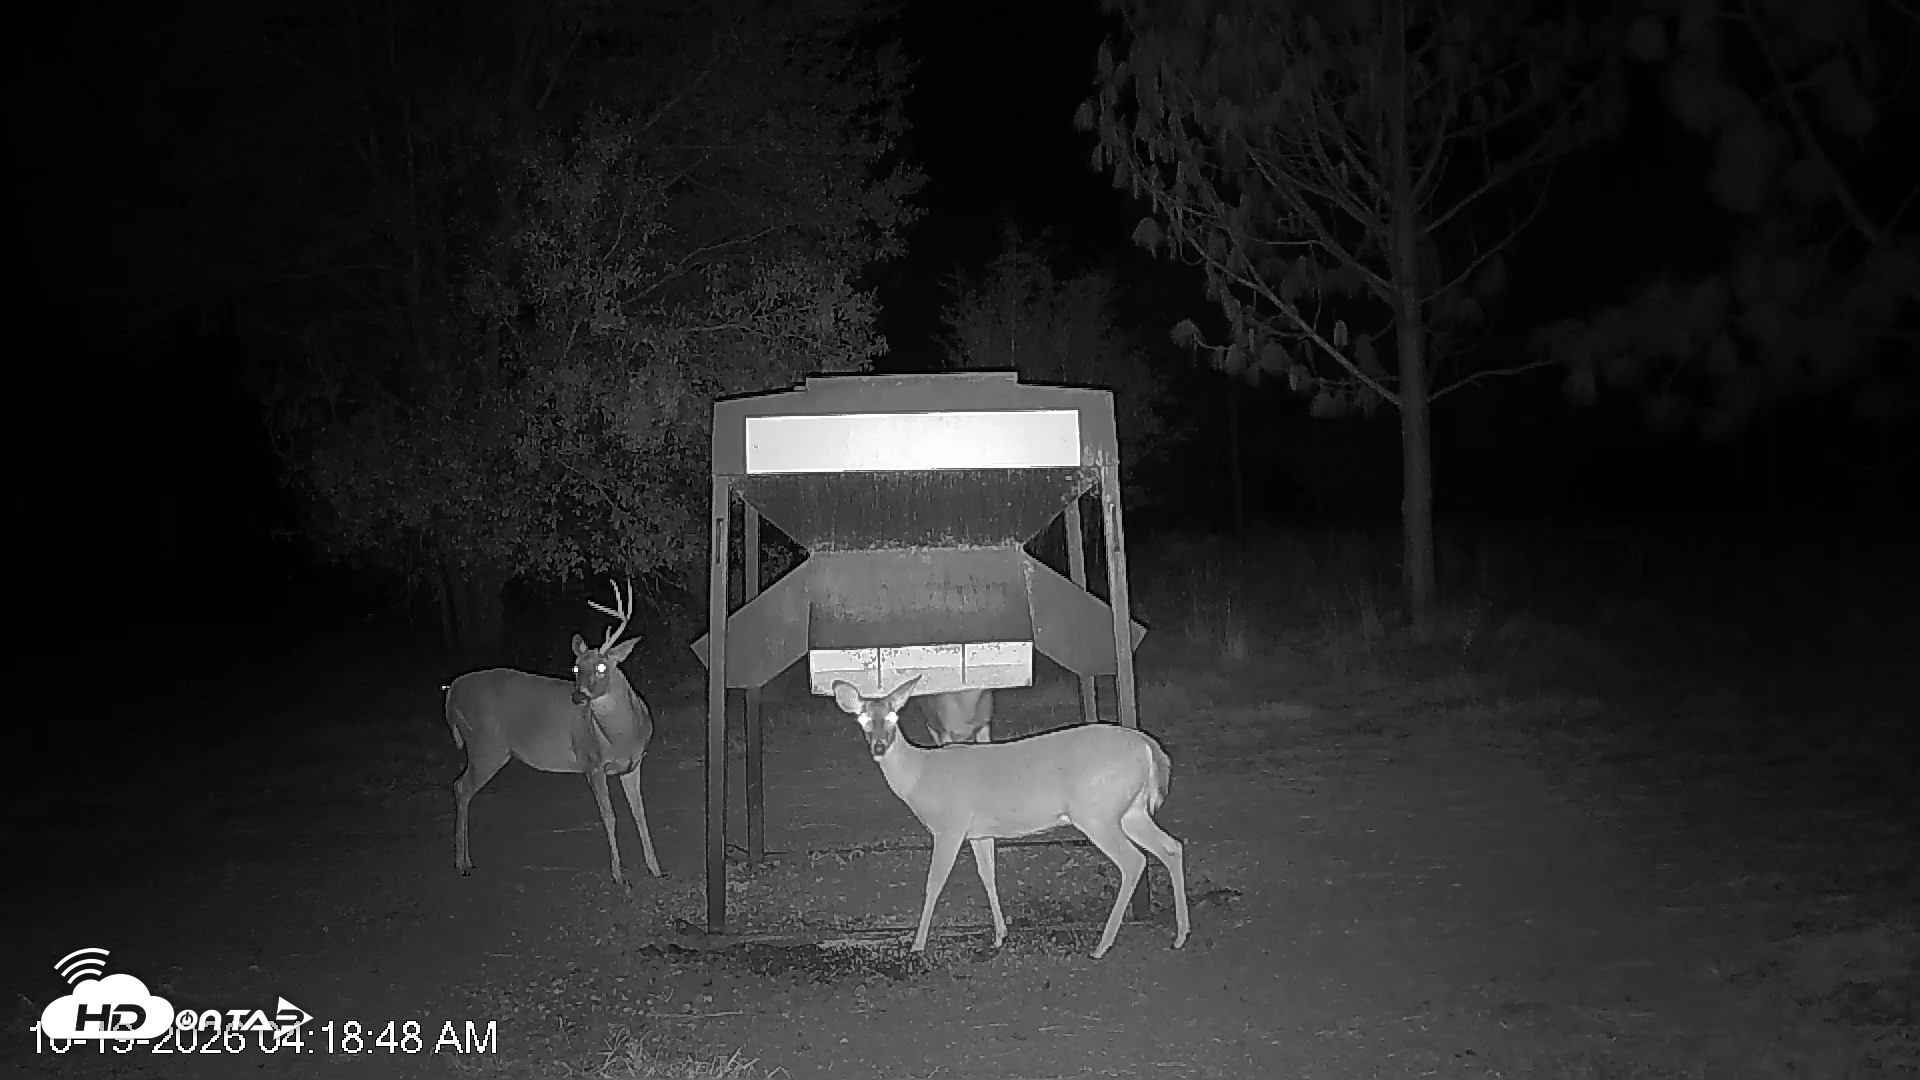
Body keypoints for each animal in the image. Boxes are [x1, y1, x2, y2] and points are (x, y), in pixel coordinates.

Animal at [443, 579, 662, 887]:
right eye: (576, 667)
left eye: (602, 666)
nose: (578, 696)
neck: (622, 736)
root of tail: (451, 692)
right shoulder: (591, 762)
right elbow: (609, 816)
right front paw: (619, 876)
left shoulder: (633, 764)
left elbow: (640, 813)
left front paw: (656, 868)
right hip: (485, 745)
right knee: (460, 787)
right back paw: (462, 863)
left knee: (460, 787)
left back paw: (466, 861)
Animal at [832, 675, 1190, 959]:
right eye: (862, 718)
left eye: (894, 715)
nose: (879, 747)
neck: (919, 777)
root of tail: (1149, 748)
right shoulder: (979, 830)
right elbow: (987, 874)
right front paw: (1000, 934)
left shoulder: (950, 824)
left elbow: (934, 883)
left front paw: (917, 945)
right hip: (1129, 810)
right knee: (1171, 847)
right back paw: (1181, 935)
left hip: (1096, 811)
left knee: (1133, 860)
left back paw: (1102, 945)